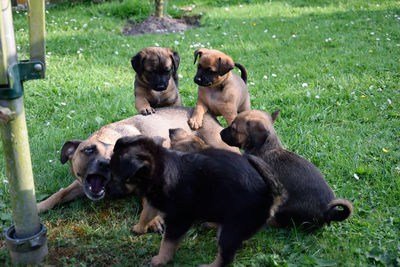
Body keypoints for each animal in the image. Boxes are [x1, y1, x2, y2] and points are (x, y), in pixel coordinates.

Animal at [111, 136, 282, 267]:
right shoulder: (154, 200)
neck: (160, 168)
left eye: (114, 177)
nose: (106, 189)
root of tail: (270, 193)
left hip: (232, 229)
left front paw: (161, 260)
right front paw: (140, 228)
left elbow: (167, 242)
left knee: (226, 256)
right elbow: (146, 214)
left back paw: (209, 265)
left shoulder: (178, 220)